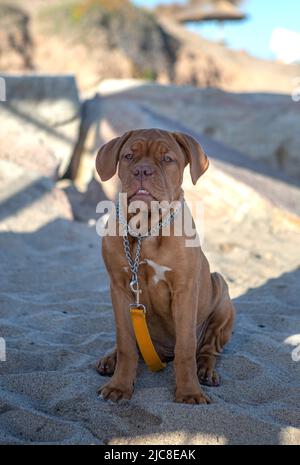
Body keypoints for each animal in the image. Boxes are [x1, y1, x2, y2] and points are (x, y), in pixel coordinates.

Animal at [95, 127, 236, 402]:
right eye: (128, 156)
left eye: (167, 159)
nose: (143, 171)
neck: (145, 230)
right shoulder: (120, 288)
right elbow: (126, 343)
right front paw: (119, 386)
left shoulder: (184, 290)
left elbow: (186, 347)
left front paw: (190, 392)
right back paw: (110, 359)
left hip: (222, 294)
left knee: (208, 348)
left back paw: (205, 371)